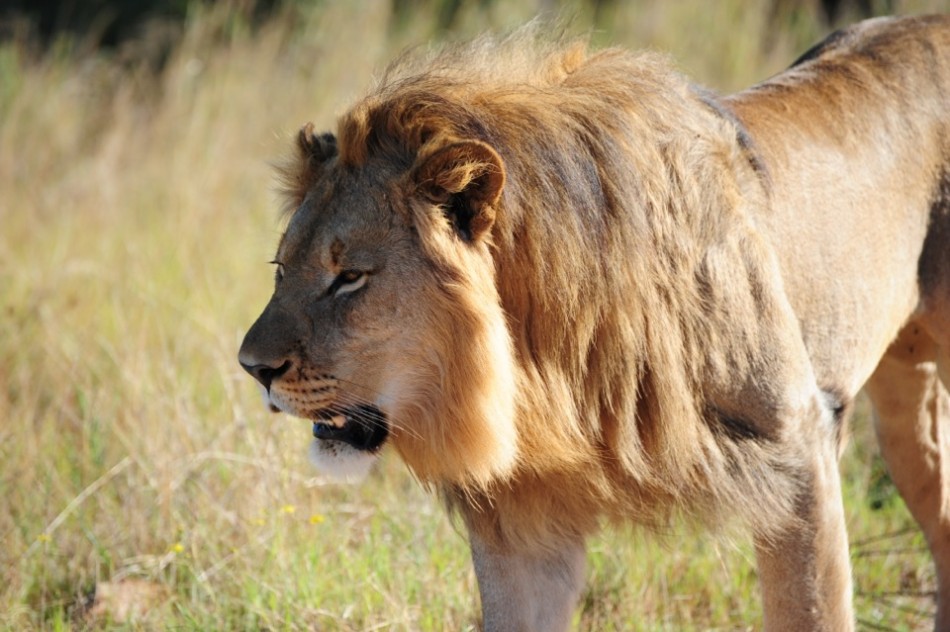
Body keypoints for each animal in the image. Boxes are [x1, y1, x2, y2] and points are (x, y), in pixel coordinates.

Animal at [239, 14, 950, 630]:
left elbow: (811, 611)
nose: (253, 369)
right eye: (282, 267)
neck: (540, 363)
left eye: (350, 276)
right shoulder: (520, 520)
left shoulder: (800, 451)